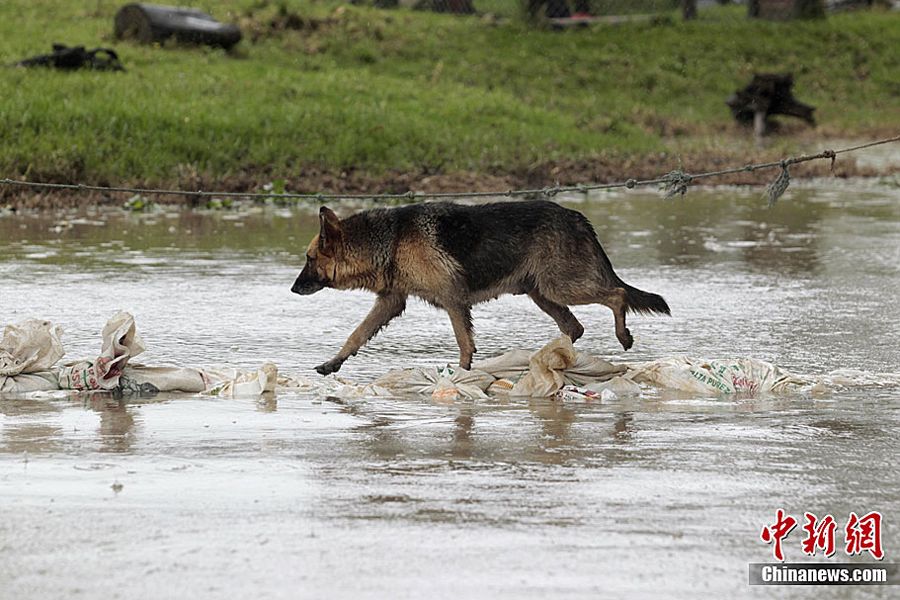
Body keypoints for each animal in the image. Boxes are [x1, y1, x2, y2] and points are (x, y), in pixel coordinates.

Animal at [290, 202, 668, 376]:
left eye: (309, 258)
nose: (293, 289)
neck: (391, 240)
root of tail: (576, 216)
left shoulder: (453, 301)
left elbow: (464, 344)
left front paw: (462, 375)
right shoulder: (391, 302)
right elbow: (356, 334)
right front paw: (333, 363)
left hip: (561, 287)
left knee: (617, 296)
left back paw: (622, 336)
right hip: (543, 294)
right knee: (574, 328)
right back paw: (550, 359)